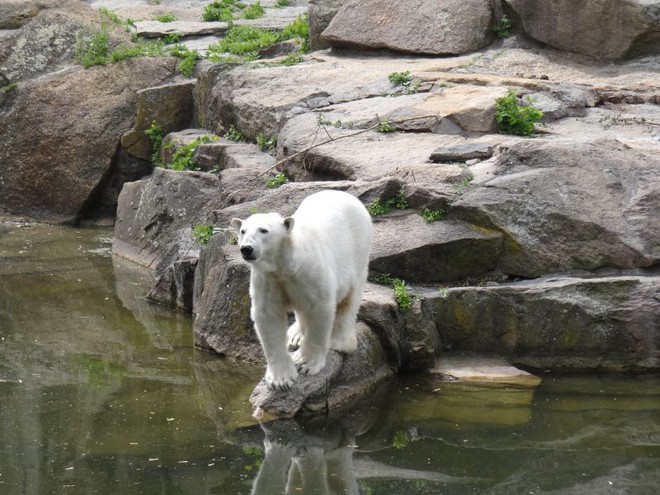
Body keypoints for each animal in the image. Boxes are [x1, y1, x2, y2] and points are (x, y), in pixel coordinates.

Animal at [231, 192, 372, 390]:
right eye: (243, 231)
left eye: (264, 230)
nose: (246, 249)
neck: (286, 265)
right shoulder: (268, 279)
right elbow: (268, 315)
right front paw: (280, 379)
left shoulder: (310, 273)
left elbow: (319, 309)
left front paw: (305, 363)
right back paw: (295, 334)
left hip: (358, 249)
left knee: (350, 297)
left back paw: (339, 341)